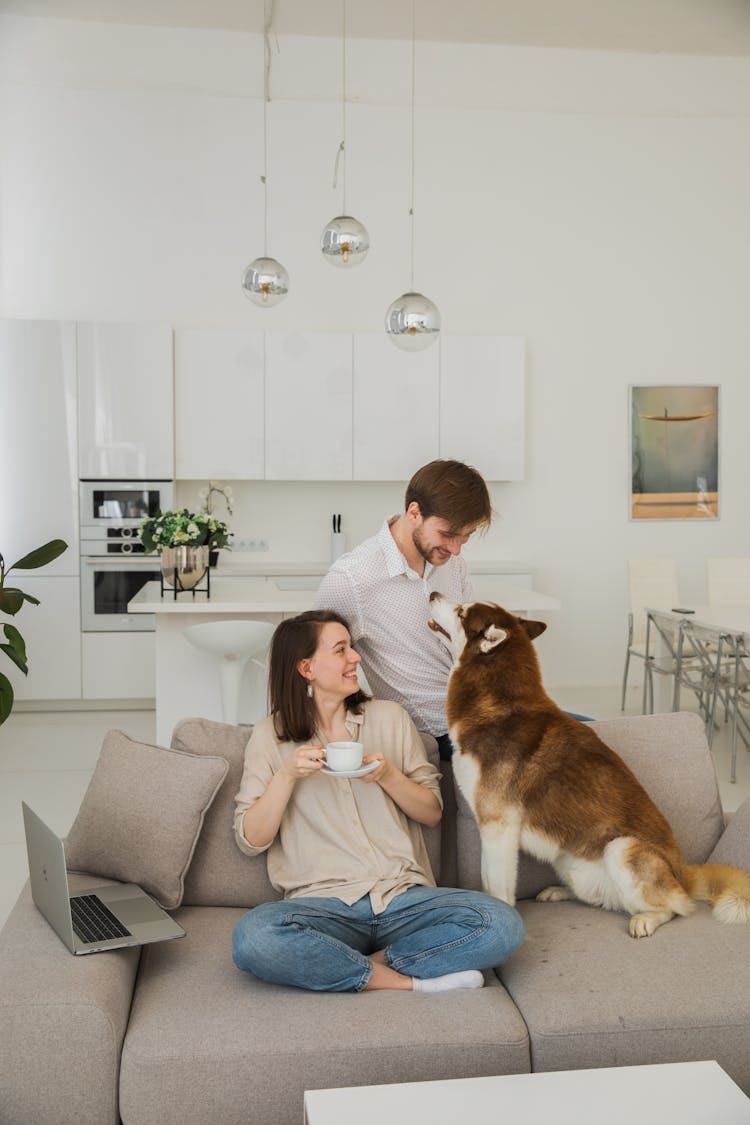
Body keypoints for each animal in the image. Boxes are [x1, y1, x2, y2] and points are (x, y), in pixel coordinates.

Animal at [427, 594, 750, 936]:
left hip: (622, 849)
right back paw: (560, 891)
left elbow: (495, 887)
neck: (498, 704)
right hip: (571, 861)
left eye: (461, 611)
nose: (433, 594)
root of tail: (681, 872)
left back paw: (647, 918)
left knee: (676, 907)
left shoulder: (497, 826)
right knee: (604, 899)